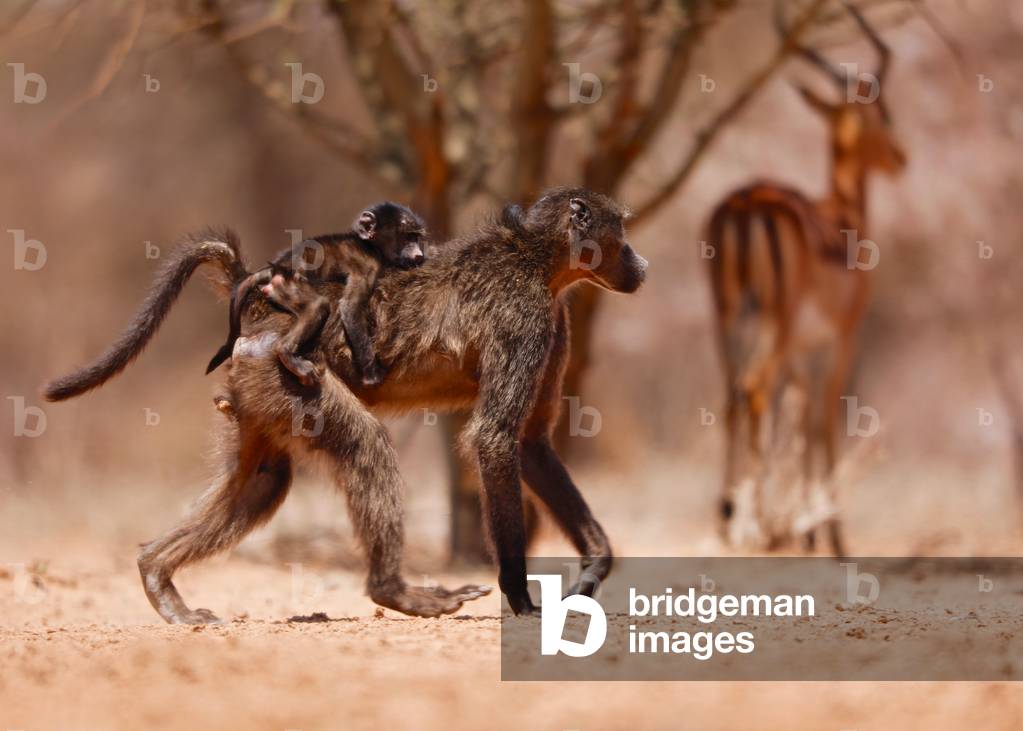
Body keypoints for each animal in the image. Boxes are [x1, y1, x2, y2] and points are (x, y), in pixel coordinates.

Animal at [206, 202, 427, 387]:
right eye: (407, 237)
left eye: (416, 238)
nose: (419, 255)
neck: (369, 245)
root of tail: (277, 268)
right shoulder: (368, 265)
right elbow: (350, 307)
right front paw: (372, 374)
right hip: (286, 286)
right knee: (317, 306)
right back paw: (286, 353)